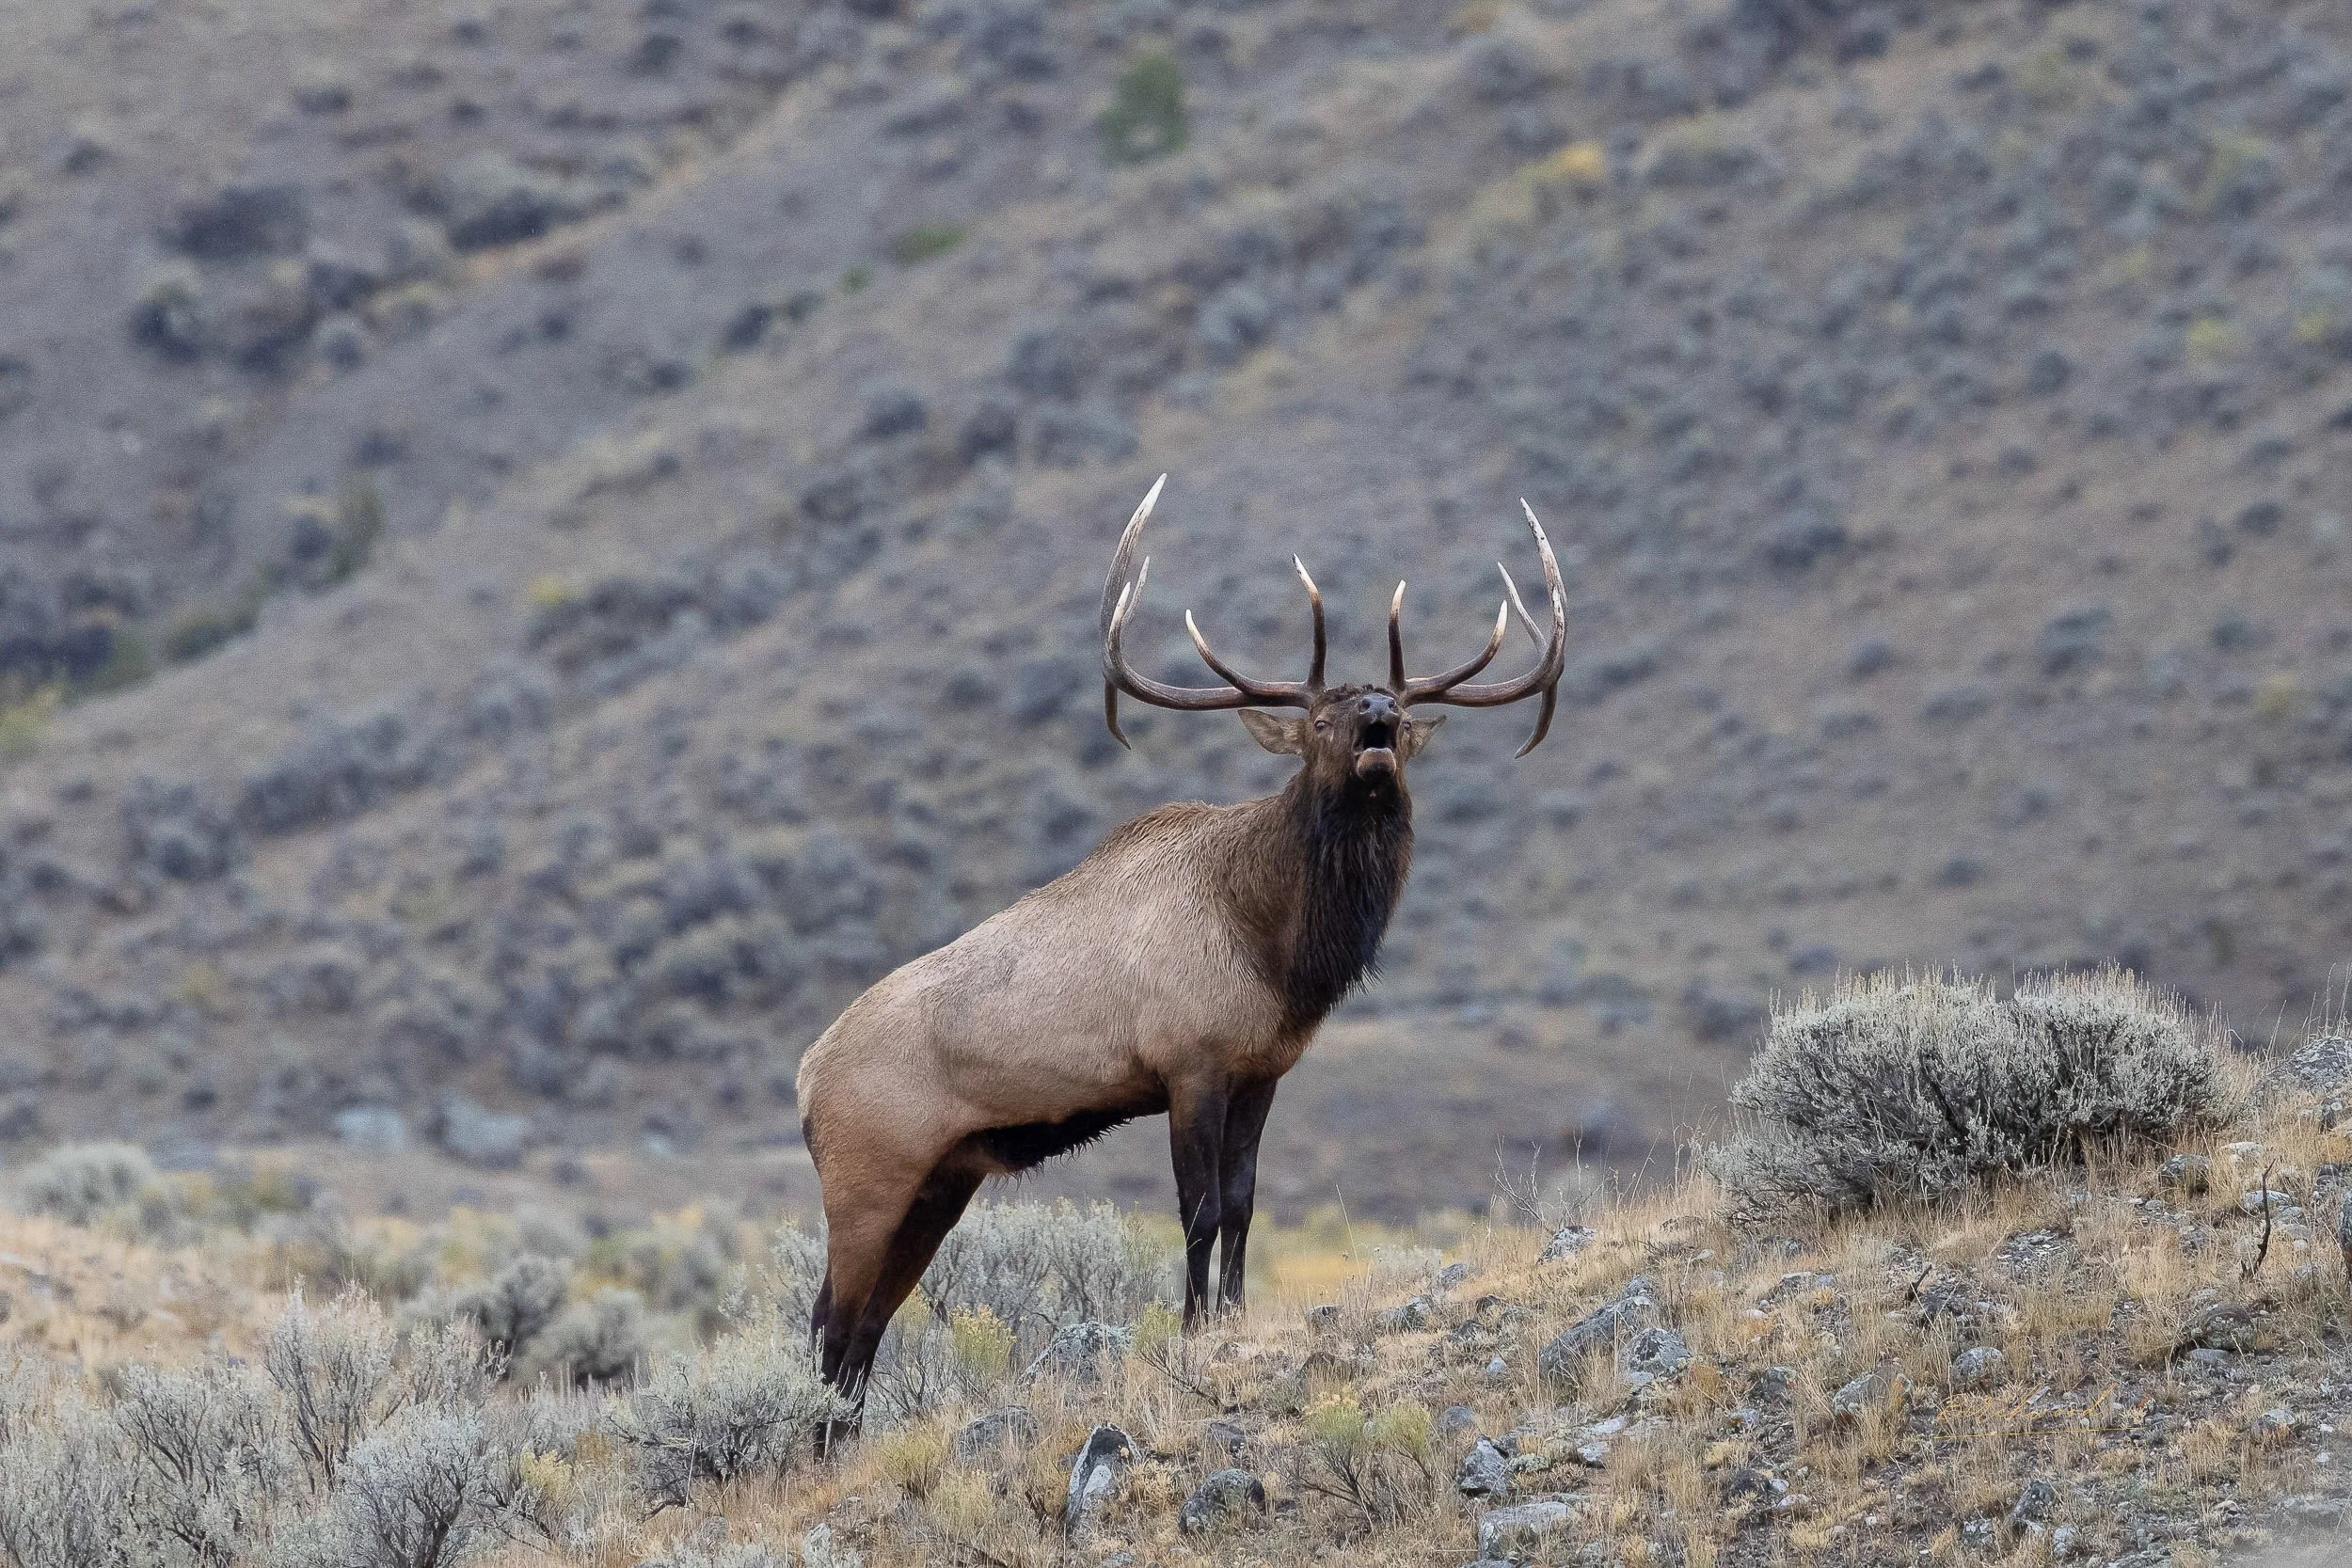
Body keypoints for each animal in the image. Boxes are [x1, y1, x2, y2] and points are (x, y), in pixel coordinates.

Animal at [794, 474, 1566, 1417]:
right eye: (1318, 720)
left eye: (1398, 709)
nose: (1381, 712)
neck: (1275, 949)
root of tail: (804, 1080)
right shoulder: (1187, 1063)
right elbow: (1195, 1209)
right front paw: (1195, 1328)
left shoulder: (1262, 1069)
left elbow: (1241, 1202)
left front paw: (1231, 1314)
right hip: (867, 1177)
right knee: (829, 1322)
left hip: (942, 1180)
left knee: (864, 1330)